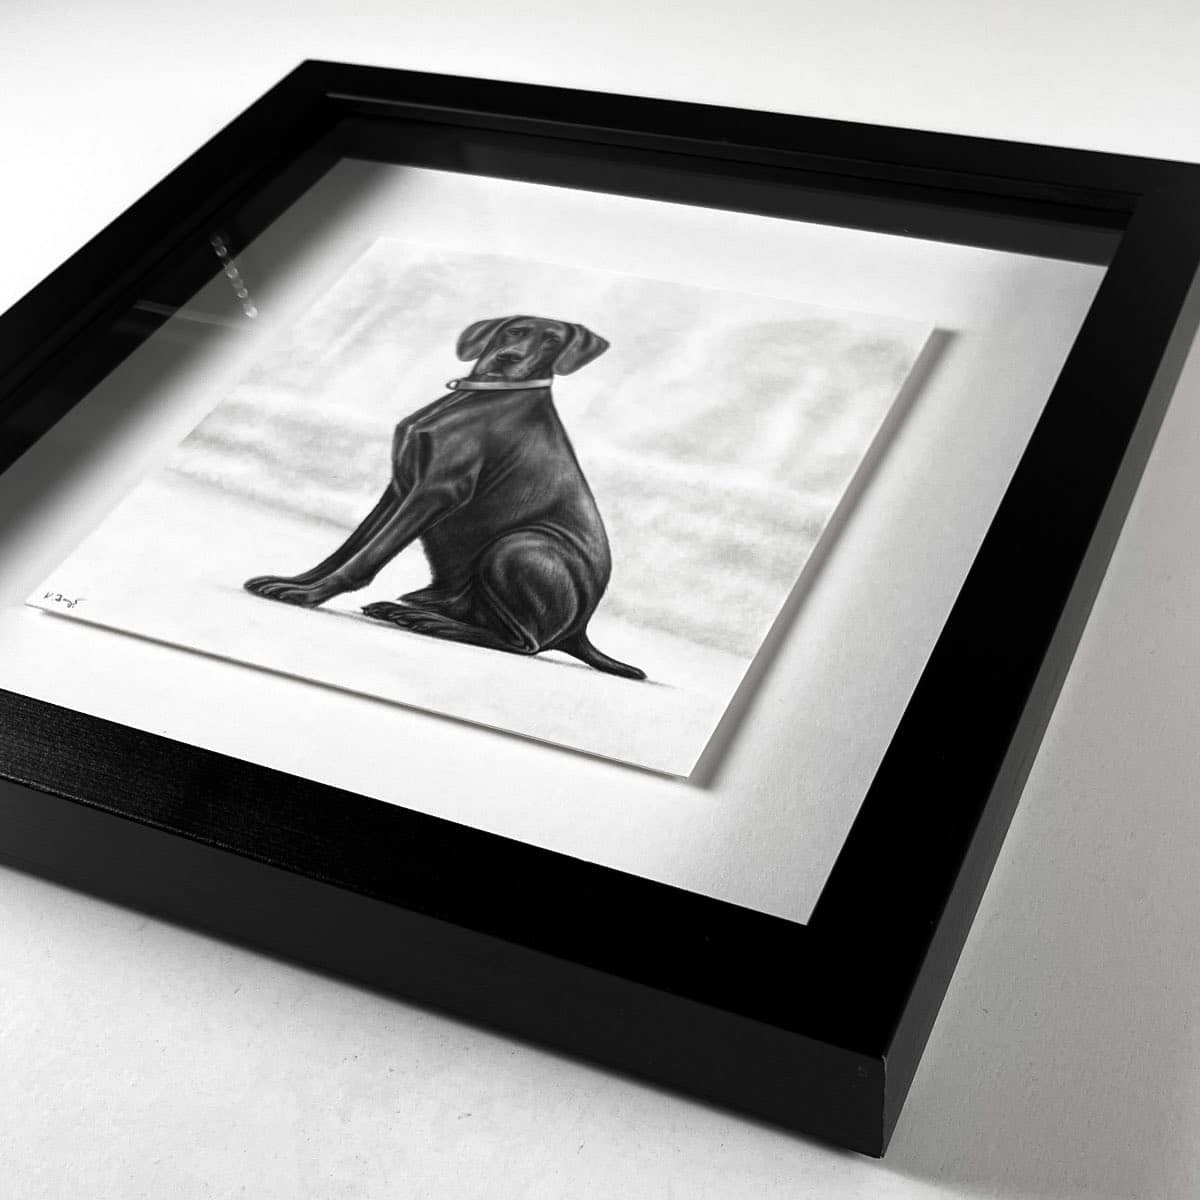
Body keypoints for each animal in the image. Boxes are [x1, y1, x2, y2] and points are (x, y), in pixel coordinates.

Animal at [244, 315, 646, 680]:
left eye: (552, 341)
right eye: (514, 331)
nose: (507, 358)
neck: (480, 395)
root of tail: (580, 630)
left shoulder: (436, 491)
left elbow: (368, 556)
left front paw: (308, 597)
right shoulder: (401, 486)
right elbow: (350, 547)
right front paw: (295, 581)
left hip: (519, 545)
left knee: (526, 643)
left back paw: (425, 620)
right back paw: (409, 609)